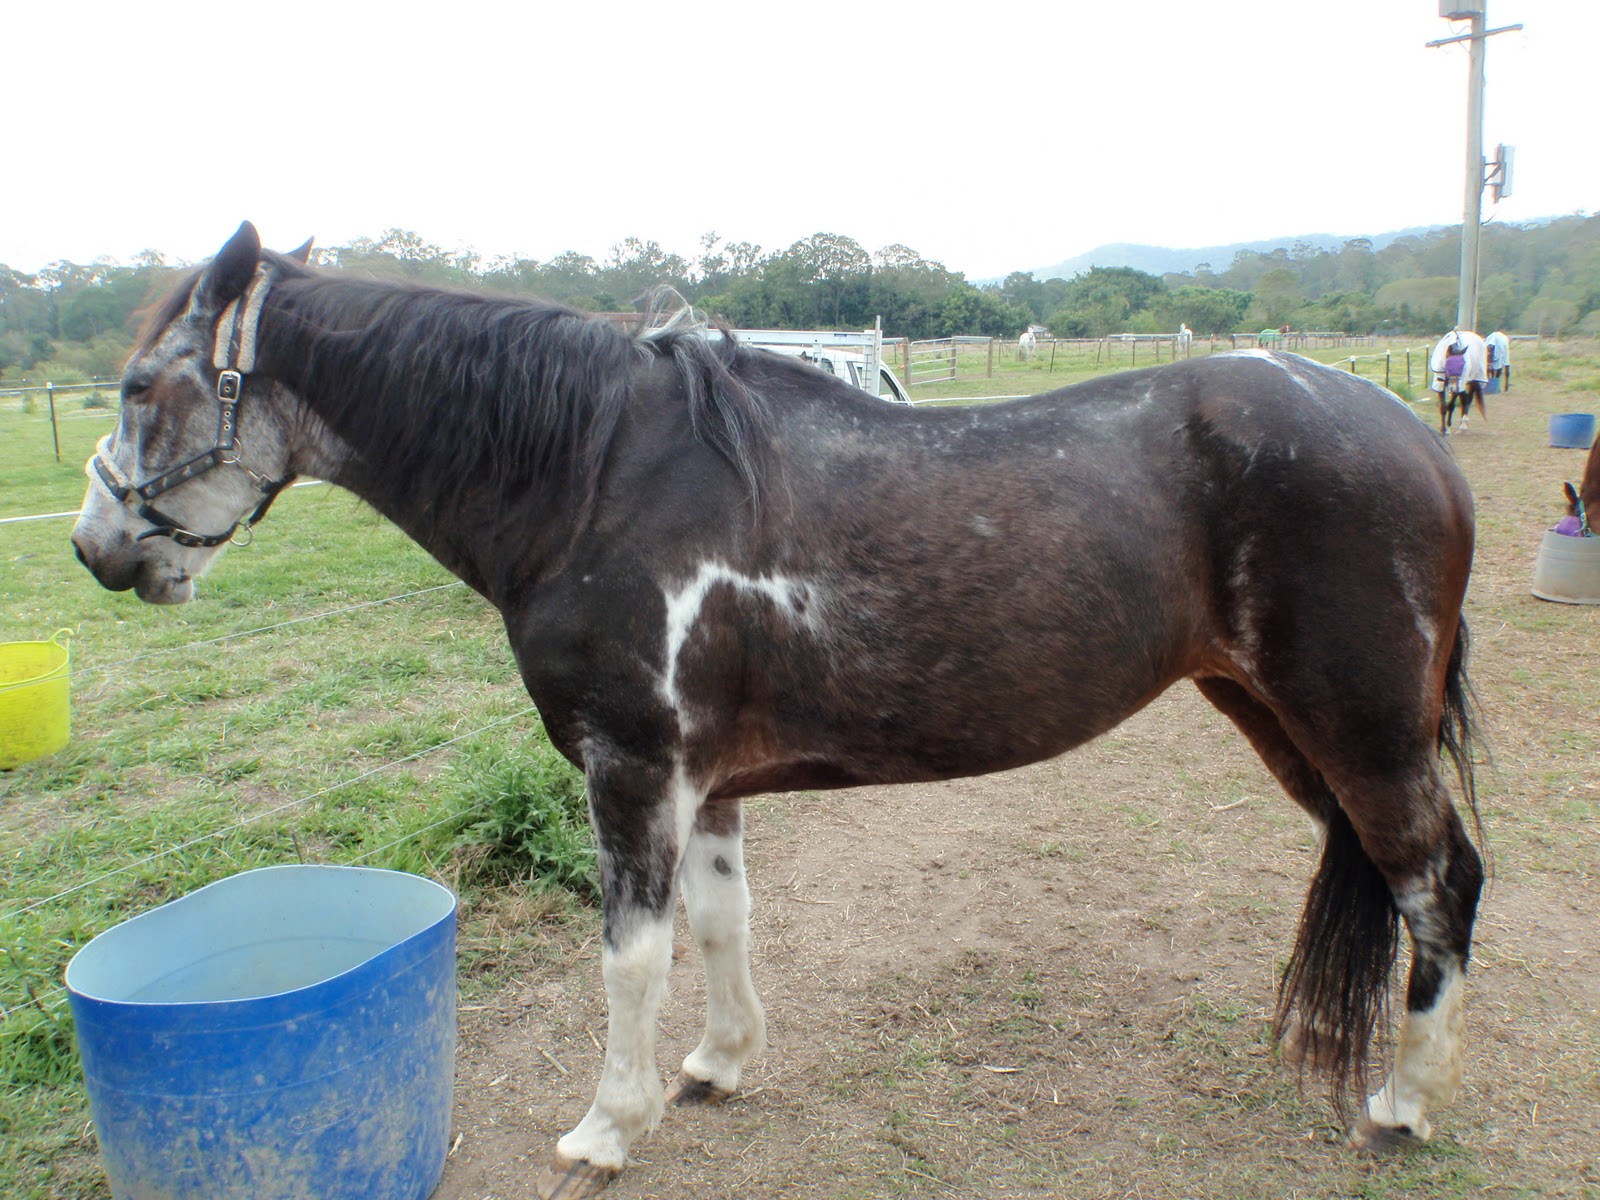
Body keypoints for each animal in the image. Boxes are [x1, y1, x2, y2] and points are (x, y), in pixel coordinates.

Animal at [72, 224, 1485, 1199]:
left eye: (143, 387)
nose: (95, 549)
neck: (594, 476)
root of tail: (1412, 432)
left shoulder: (630, 767)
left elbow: (629, 955)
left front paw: (607, 1126)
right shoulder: (702, 783)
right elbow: (718, 923)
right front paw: (718, 1065)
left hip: (1358, 727)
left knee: (1439, 880)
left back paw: (1402, 1106)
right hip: (1276, 718)